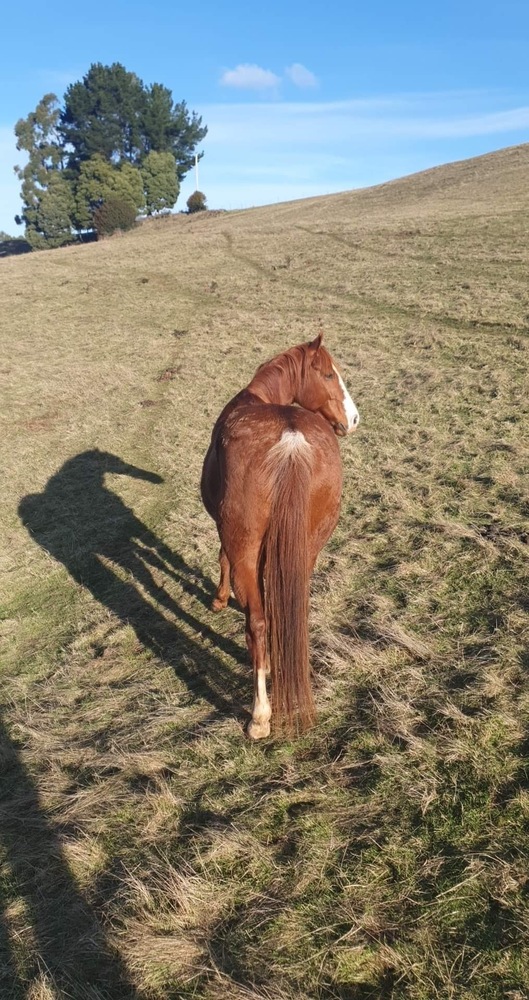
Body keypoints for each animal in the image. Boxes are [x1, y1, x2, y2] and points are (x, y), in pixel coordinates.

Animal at [200, 334, 359, 739]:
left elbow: (221, 557)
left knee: (257, 621)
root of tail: (290, 441)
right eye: (327, 374)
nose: (353, 419)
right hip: (308, 548)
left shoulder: (228, 535)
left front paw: (219, 599)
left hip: (245, 546)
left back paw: (260, 716)